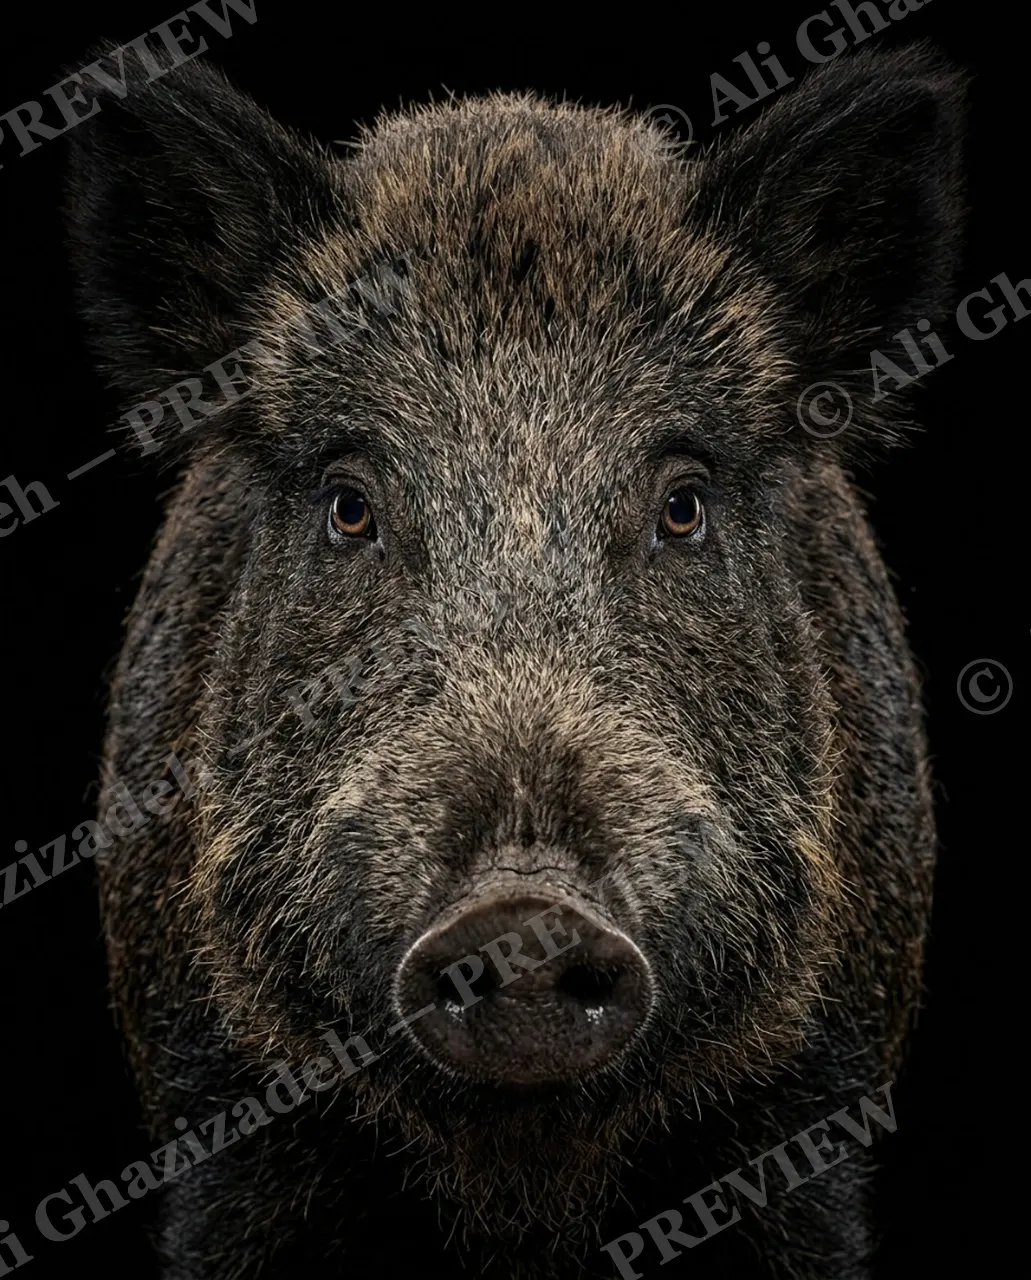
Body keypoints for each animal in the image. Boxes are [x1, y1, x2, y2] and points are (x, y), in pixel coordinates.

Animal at [65, 37, 964, 1280]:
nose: (524, 916)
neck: (519, 1184)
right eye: (349, 505)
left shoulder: (809, 1101)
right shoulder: (219, 1104)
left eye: (681, 504)